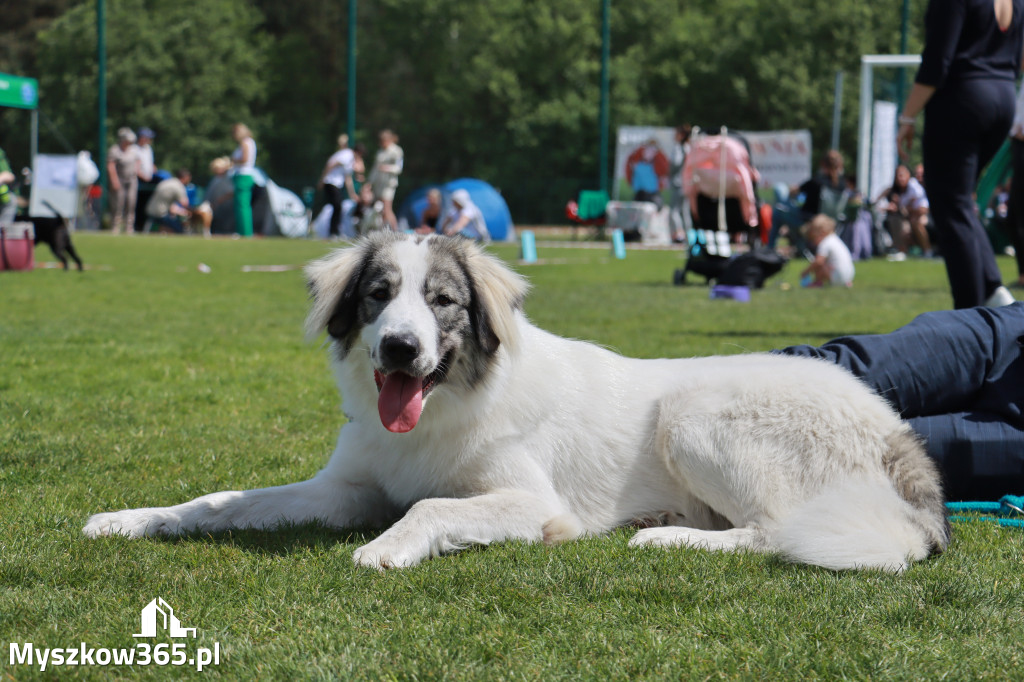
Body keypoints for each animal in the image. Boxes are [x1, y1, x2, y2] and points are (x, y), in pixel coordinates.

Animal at [81, 231, 950, 569]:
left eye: (442, 303)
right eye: (378, 296)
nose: (399, 350)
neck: (440, 413)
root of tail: (893, 430)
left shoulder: (532, 502)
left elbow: (431, 506)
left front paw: (386, 548)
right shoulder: (346, 489)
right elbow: (220, 500)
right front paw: (131, 519)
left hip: (695, 414)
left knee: (774, 531)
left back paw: (665, 537)